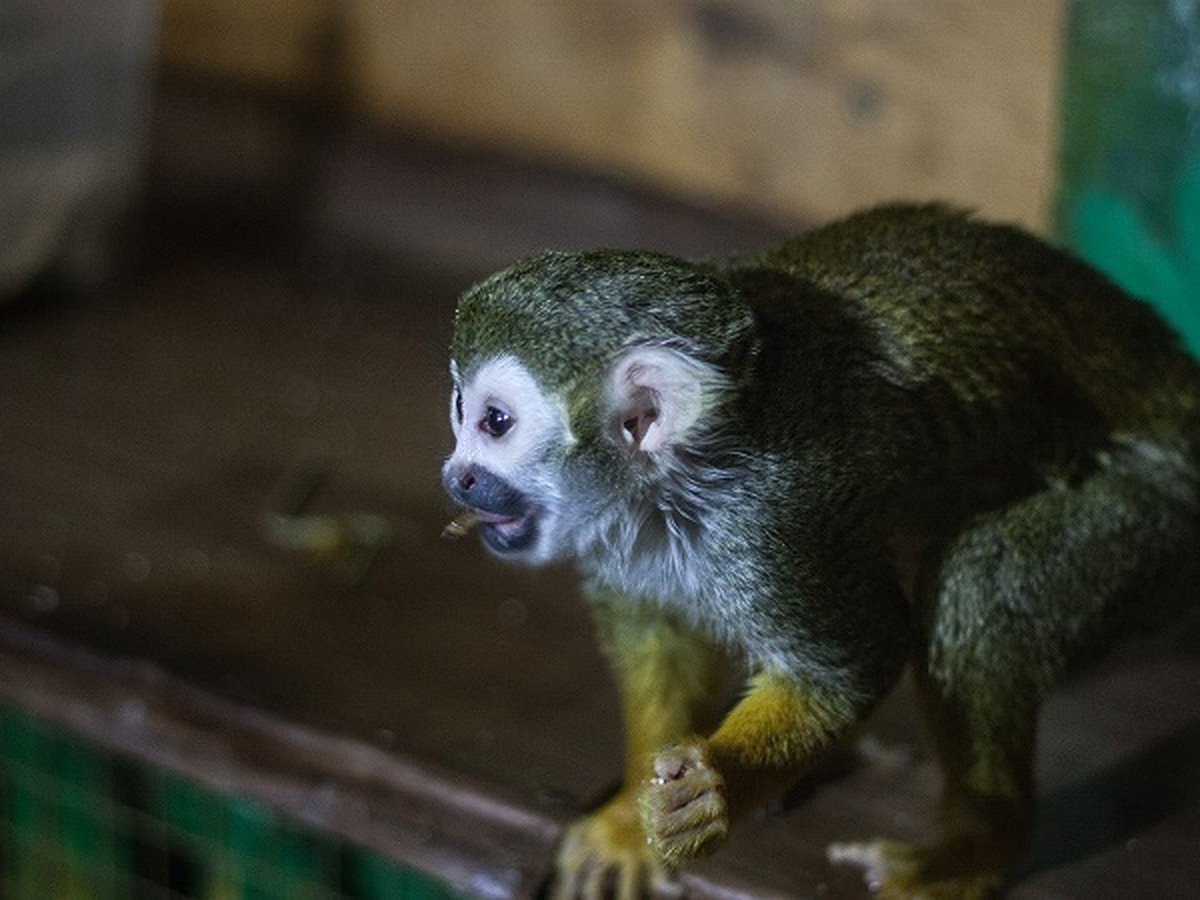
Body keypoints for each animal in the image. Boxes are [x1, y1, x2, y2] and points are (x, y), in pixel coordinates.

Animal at [441, 206, 1200, 900]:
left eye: (495, 422)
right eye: (458, 409)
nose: (456, 477)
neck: (678, 482)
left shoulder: (773, 523)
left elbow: (858, 661)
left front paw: (717, 790)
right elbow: (656, 636)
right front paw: (631, 817)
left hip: (1156, 517)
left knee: (979, 586)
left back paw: (975, 849)